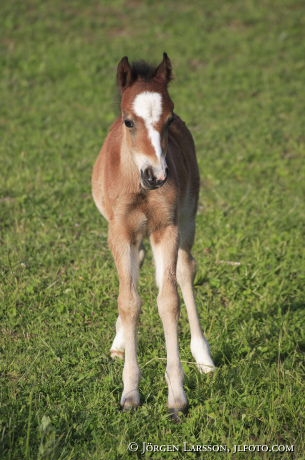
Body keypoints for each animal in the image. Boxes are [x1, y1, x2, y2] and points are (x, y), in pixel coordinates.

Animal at [91, 54, 215, 414]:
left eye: (169, 119)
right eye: (128, 121)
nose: (156, 175)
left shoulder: (167, 228)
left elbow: (168, 300)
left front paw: (177, 397)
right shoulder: (120, 232)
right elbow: (129, 301)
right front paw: (130, 393)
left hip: (187, 219)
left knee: (185, 271)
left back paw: (204, 358)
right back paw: (119, 342)